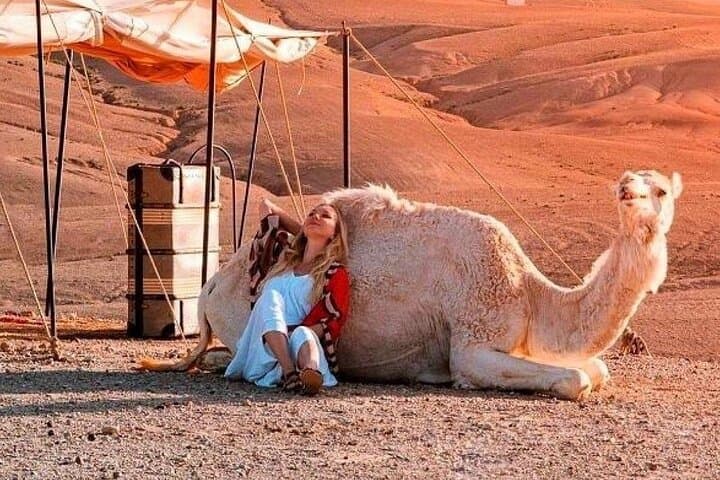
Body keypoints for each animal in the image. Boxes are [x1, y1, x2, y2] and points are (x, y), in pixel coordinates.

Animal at [143, 169, 682, 401]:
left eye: (659, 188)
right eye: (631, 181)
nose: (626, 190)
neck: (530, 295)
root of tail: (211, 287)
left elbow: (597, 369)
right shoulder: (472, 343)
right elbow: (576, 379)